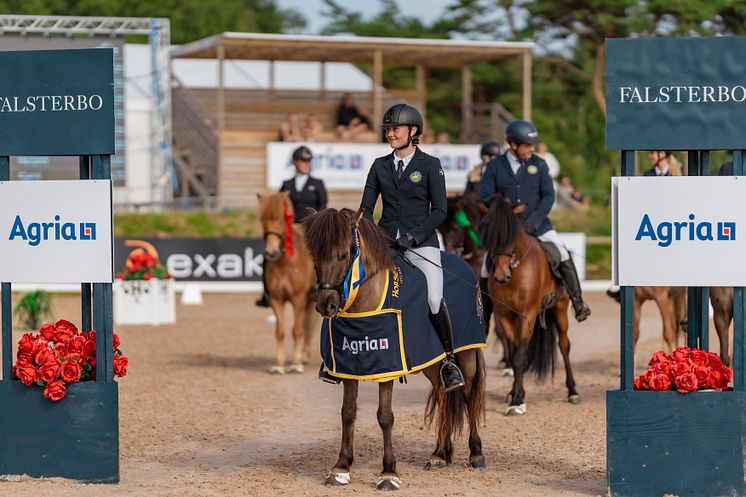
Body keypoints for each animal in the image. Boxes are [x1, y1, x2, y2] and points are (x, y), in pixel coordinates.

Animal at [256, 192, 316, 374]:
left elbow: (296, 331)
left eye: (282, 220)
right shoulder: (276, 300)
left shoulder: (299, 299)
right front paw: (278, 365)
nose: (271, 252)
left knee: (307, 326)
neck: (285, 263)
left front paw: (295, 364)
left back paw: (303, 357)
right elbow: (280, 331)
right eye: (262, 219)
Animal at [304, 207, 488, 490]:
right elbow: (348, 413)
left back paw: (476, 453)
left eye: (344, 255)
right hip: (431, 360)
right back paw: (440, 454)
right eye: (315, 255)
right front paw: (341, 467)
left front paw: (388, 473)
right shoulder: (350, 364)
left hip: (466, 353)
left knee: (468, 393)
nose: (326, 305)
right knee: (443, 394)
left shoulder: (387, 365)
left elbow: (385, 416)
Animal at [476, 193, 576, 414]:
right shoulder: (504, 315)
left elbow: (521, 356)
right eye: (487, 230)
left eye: (512, 235)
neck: (515, 273)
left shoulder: (527, 313)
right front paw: (515, 395)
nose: (500, 277)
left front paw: (517, 400)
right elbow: (514, 356)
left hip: (560, 308)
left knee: (564, 345)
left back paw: (572, 391)